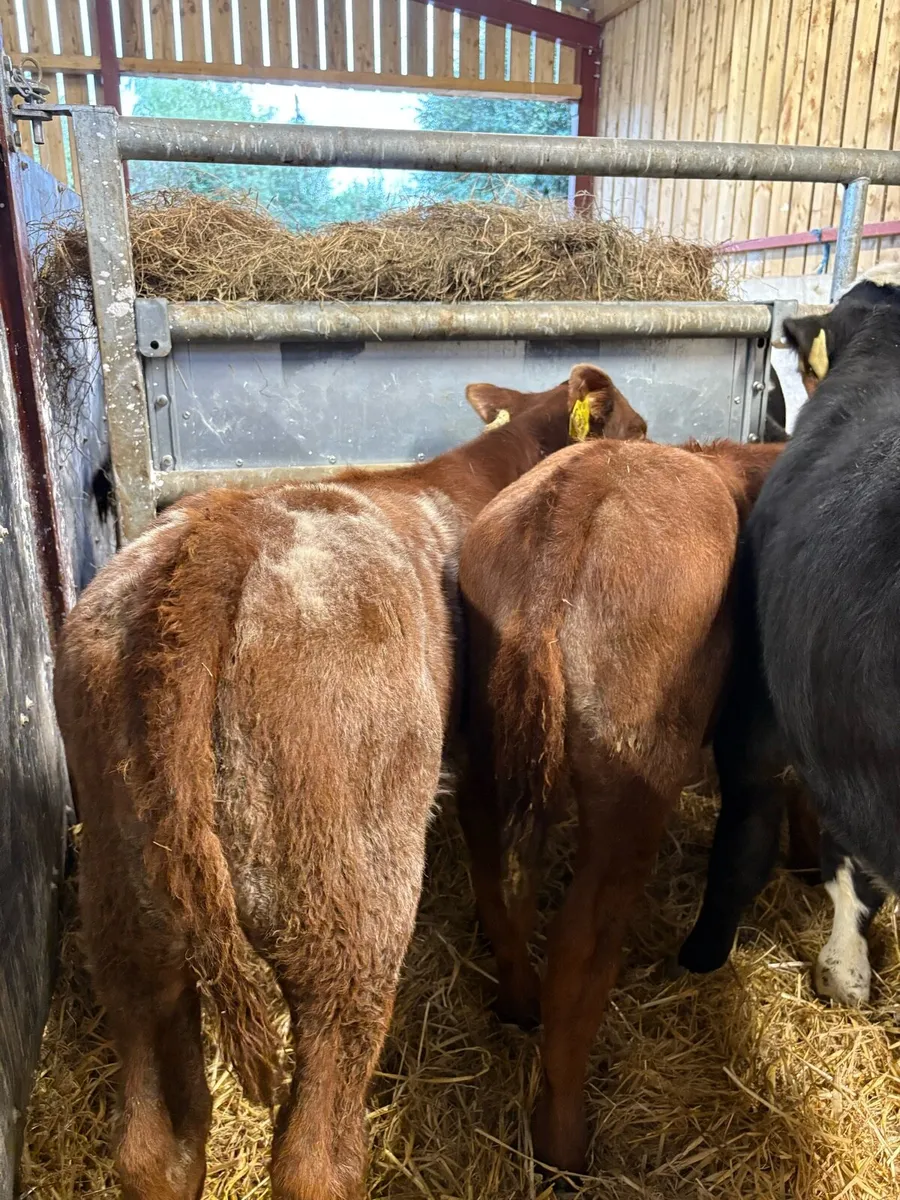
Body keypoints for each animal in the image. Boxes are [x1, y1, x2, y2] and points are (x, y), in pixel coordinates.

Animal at [53, 365, 646, 1200]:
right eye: (636, 429)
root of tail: (219, 542)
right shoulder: (485, 750)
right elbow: (498, 872)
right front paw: (519, 997)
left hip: (127, 912)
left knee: (152, 1141)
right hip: (348, 905)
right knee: (315, 1153)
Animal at [456, 431, 782, 1173]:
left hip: (484, 737)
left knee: (488, 863)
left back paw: (516, 1002)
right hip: (632, 777)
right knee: (582, 944)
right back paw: (564, 1145)